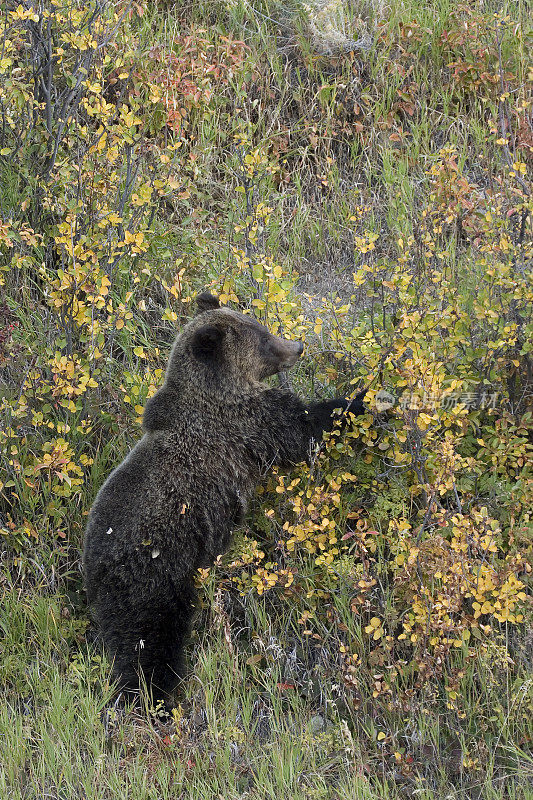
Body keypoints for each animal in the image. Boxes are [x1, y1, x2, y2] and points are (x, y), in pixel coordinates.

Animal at [83, 294, 364, 708]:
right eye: (263, 340)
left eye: (261, 325)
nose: (297, 346)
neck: (216, 390)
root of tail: (93, 570)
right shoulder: (248, 422)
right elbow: (304, 431)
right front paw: (370, 401)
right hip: (155, 576)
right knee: (148, 643)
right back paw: (156, 696)